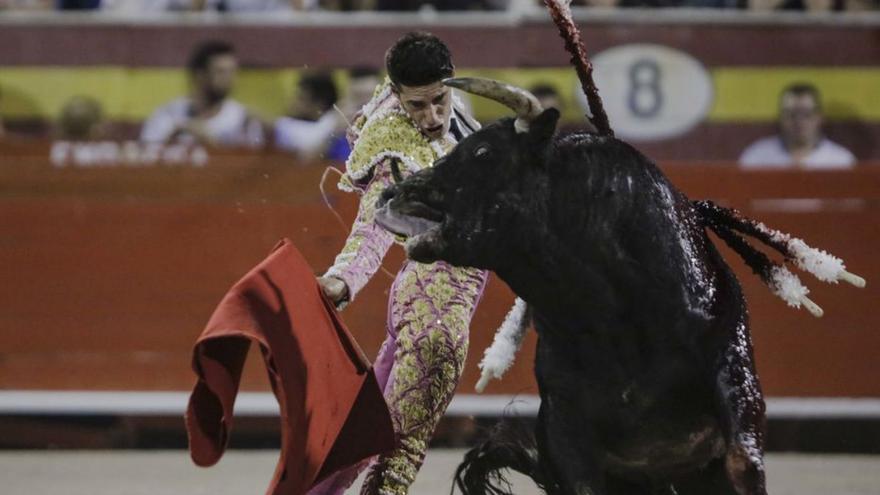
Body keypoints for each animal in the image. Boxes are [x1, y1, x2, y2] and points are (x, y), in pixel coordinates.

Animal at [372, 109, 840, 495]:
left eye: (484, 151)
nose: (393, 192)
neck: (611, 319)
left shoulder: (732, 368)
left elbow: (744, 463)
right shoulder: (564, 421)